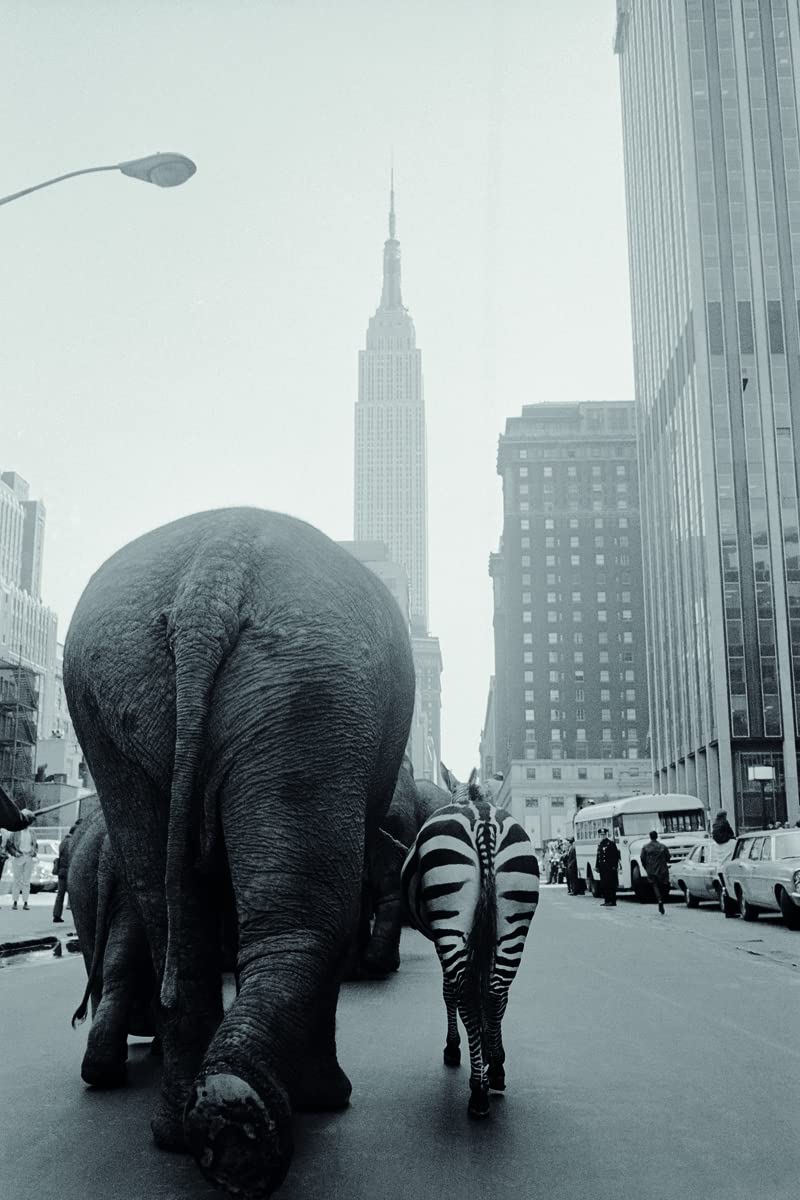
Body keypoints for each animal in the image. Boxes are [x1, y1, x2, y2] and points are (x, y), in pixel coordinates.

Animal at [62, 507, 415, 1200]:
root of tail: (215, 570)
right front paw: (323, 1100)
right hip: (312, 688)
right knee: (310, 917)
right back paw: (247, 1121)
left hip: (123, 693)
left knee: (169, 914)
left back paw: (186, 1126)